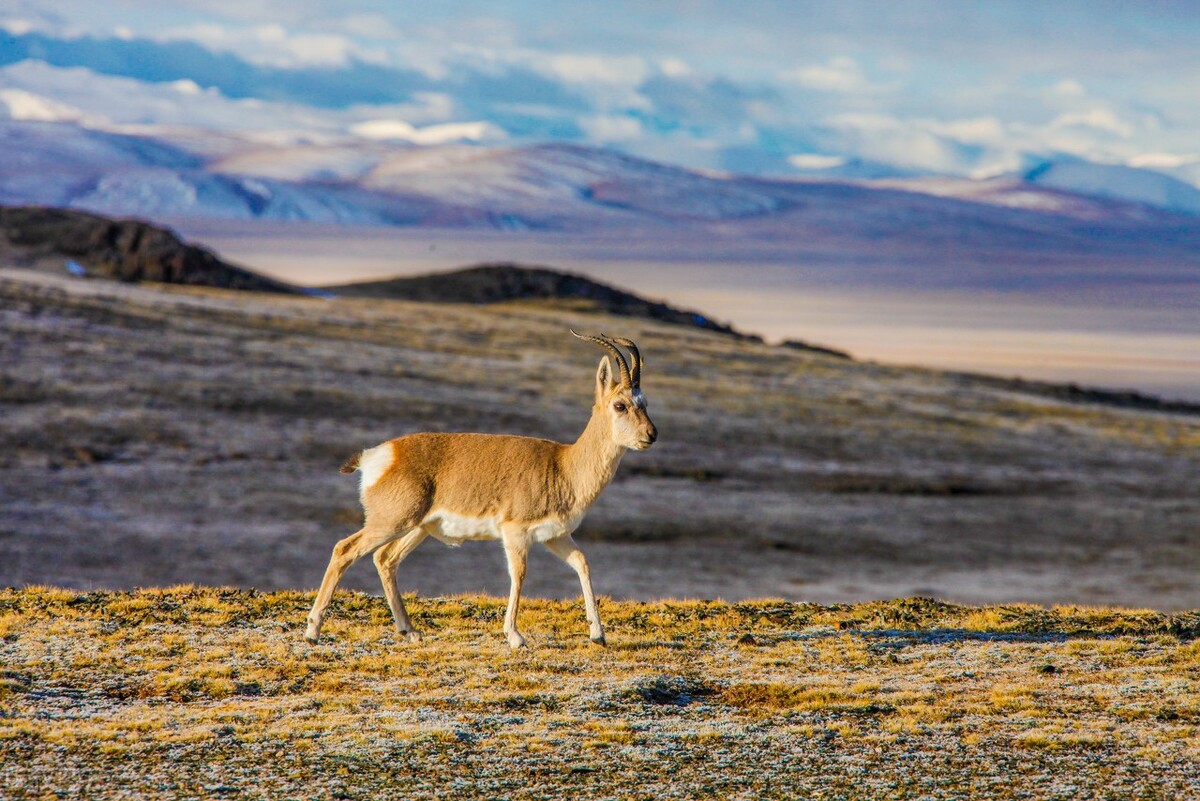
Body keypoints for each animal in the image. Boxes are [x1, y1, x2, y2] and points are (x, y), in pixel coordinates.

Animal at [300, 328, 657, 647]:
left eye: (645, 402)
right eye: (620, 405)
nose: (651, 435)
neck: (562, 465)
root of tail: (379, 454)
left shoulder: (555, 536)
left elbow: (583, 562)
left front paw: (598, 634)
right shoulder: (515, 532)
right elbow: (519, 574)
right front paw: (515, 636)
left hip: (417, 528)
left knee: (385, 559)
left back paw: (409, 631)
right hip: (390, 523)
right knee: (344, 549)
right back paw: (313, 631)